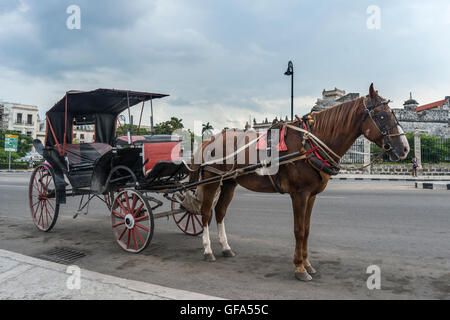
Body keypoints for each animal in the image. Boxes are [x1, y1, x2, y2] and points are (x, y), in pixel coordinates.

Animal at [188, 84, 410, 282]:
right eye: (382, 115)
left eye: (393, 113)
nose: (405, 148)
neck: (311, 143)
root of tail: (210, 139)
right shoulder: (299, 194)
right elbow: (299, 230)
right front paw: (299, 268)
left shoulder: (311, 195)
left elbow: (308, 229)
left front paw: (308, 264)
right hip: (211, 180)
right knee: (206, 213)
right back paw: (208, 250)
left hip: (229, 182)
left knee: (220, 212)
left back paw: (226, 248)